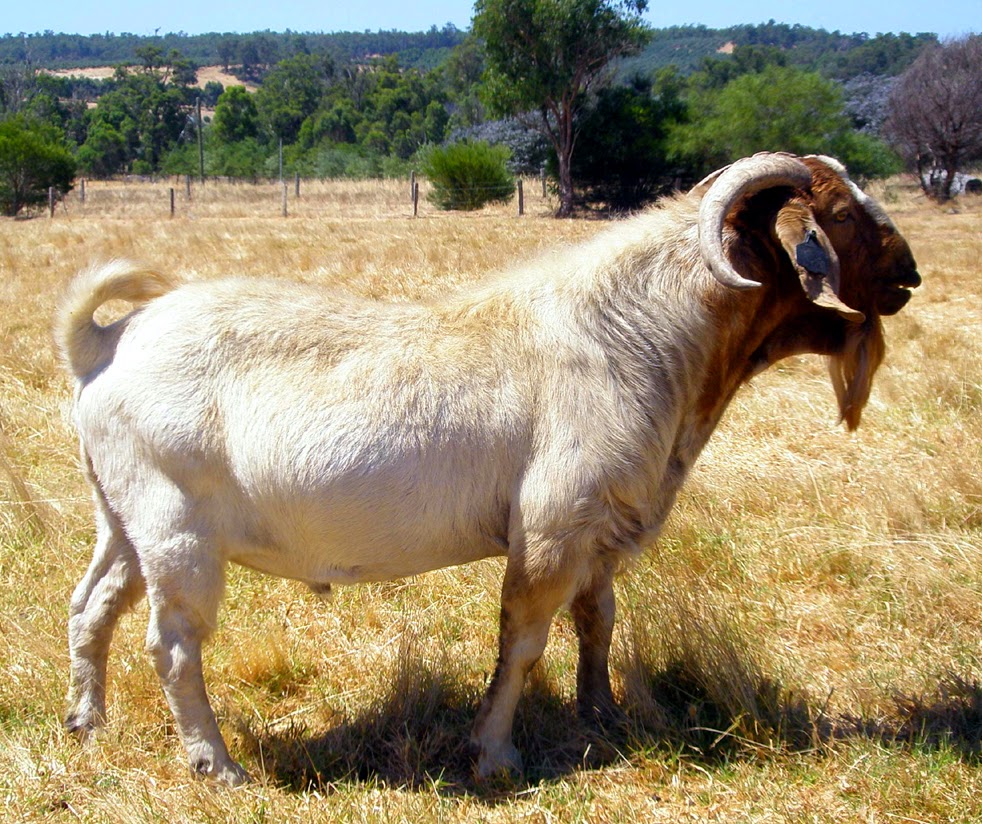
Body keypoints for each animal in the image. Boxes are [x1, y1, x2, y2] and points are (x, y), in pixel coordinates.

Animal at [56, 153, 920, 784]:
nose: (910, 275)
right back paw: (218, 766)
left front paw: (601, 716)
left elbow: (597, 620)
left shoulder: (597, 530)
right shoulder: (551, 527)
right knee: (172, 645)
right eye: (843, 214)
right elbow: (524, 639)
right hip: (176, 529)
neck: (632, 332)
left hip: (121, 521)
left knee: (91, 607)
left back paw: (86, 723)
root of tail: (105, 343)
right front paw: (494, 755)